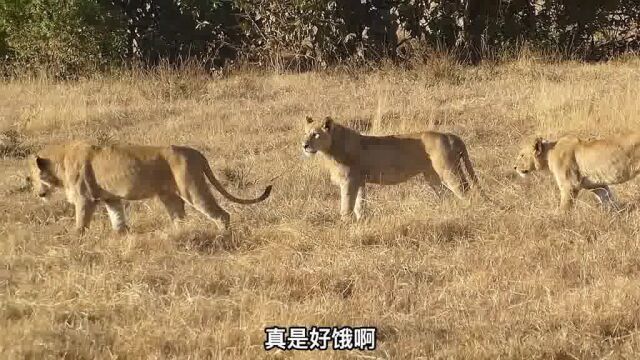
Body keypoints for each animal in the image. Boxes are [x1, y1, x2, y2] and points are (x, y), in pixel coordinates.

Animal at [28, 141, 272, 236]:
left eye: (30, 178)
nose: (36, 193)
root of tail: (196, 153)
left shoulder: (84, 199)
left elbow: (80, 224)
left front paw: (75, 239)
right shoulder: (111, 199)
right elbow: (118, 220)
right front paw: (122, 237)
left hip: (192, 189)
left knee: (222, 214)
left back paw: (223, 237)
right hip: (170, 196)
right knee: (180, 218)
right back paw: (177, 236)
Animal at [512, 134, 640, 212]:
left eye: (522, 155)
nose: (514, 167)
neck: (548, 155)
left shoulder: (569, 185)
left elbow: (564, 208)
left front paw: (558, 223)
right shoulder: (597, 185)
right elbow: (608, 200)